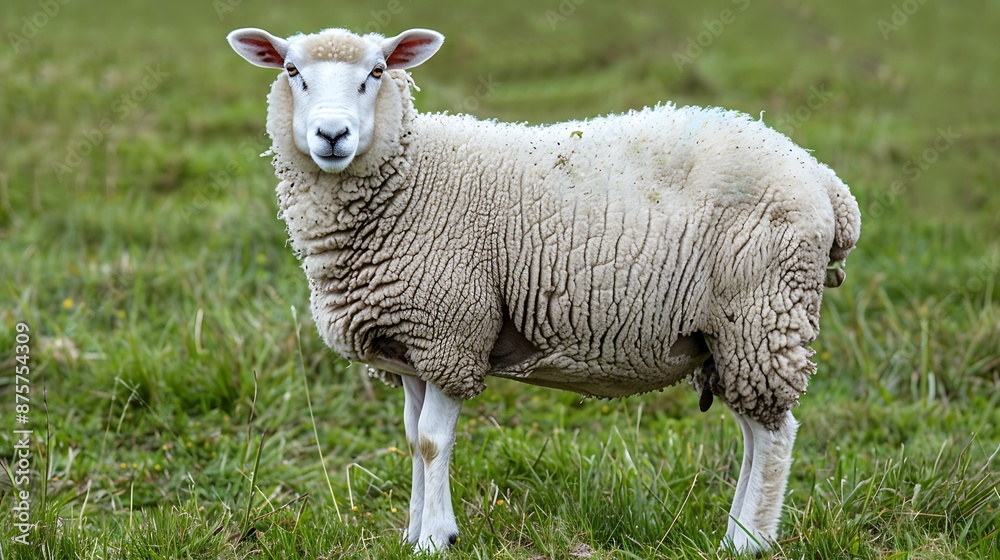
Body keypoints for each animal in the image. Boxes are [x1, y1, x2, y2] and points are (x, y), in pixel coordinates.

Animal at [226, 26, 861, 554]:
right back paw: (735, 534)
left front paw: (435, 538)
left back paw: (750, 540)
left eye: (377, 72)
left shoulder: (454, 333)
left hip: (762, 313)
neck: (410, 179)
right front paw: (412, 533)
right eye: (291, 71)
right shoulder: (409, 345)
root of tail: (826, 182)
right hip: (733, 333)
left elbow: (431, 441)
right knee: (754, 432)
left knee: (773, 434)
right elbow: (410, 438)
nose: (332, 135)